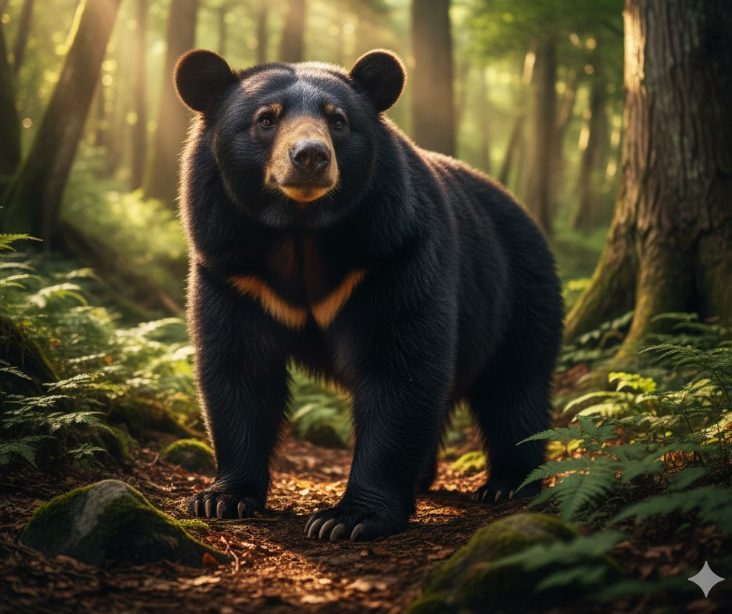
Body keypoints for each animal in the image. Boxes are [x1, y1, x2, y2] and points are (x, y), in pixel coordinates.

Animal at [174, 48, 563, 542]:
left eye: (338, 120)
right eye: (266, 118)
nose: (310, 156)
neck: (299, 231)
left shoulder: (391, 254)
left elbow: (398, 369)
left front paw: (347, 518)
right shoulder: (232, 269)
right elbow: (238, 368)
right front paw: (221, 498)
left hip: (519, 293)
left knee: (515, 388)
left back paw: (507, 483)